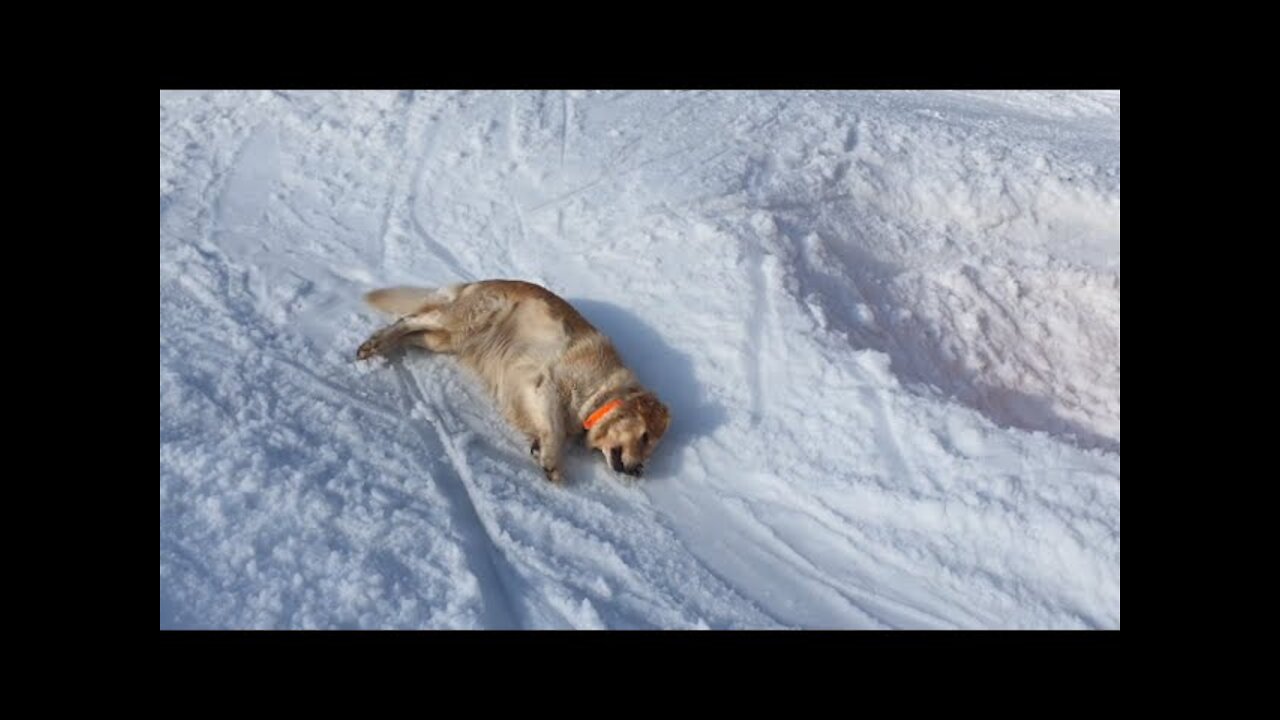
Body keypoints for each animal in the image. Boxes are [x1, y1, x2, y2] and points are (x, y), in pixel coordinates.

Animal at [350, 280, 670, 481]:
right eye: (644, 436)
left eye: (650, 447)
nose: (638, 471)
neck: (603, 393)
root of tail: (474, 283)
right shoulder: (548, 382)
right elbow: (555, 428)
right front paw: (552, 461)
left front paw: (539, 447)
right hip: (467, 319)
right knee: (408, 320)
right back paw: (373, 344)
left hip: (447, 340)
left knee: (411, 332)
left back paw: (384, 344)